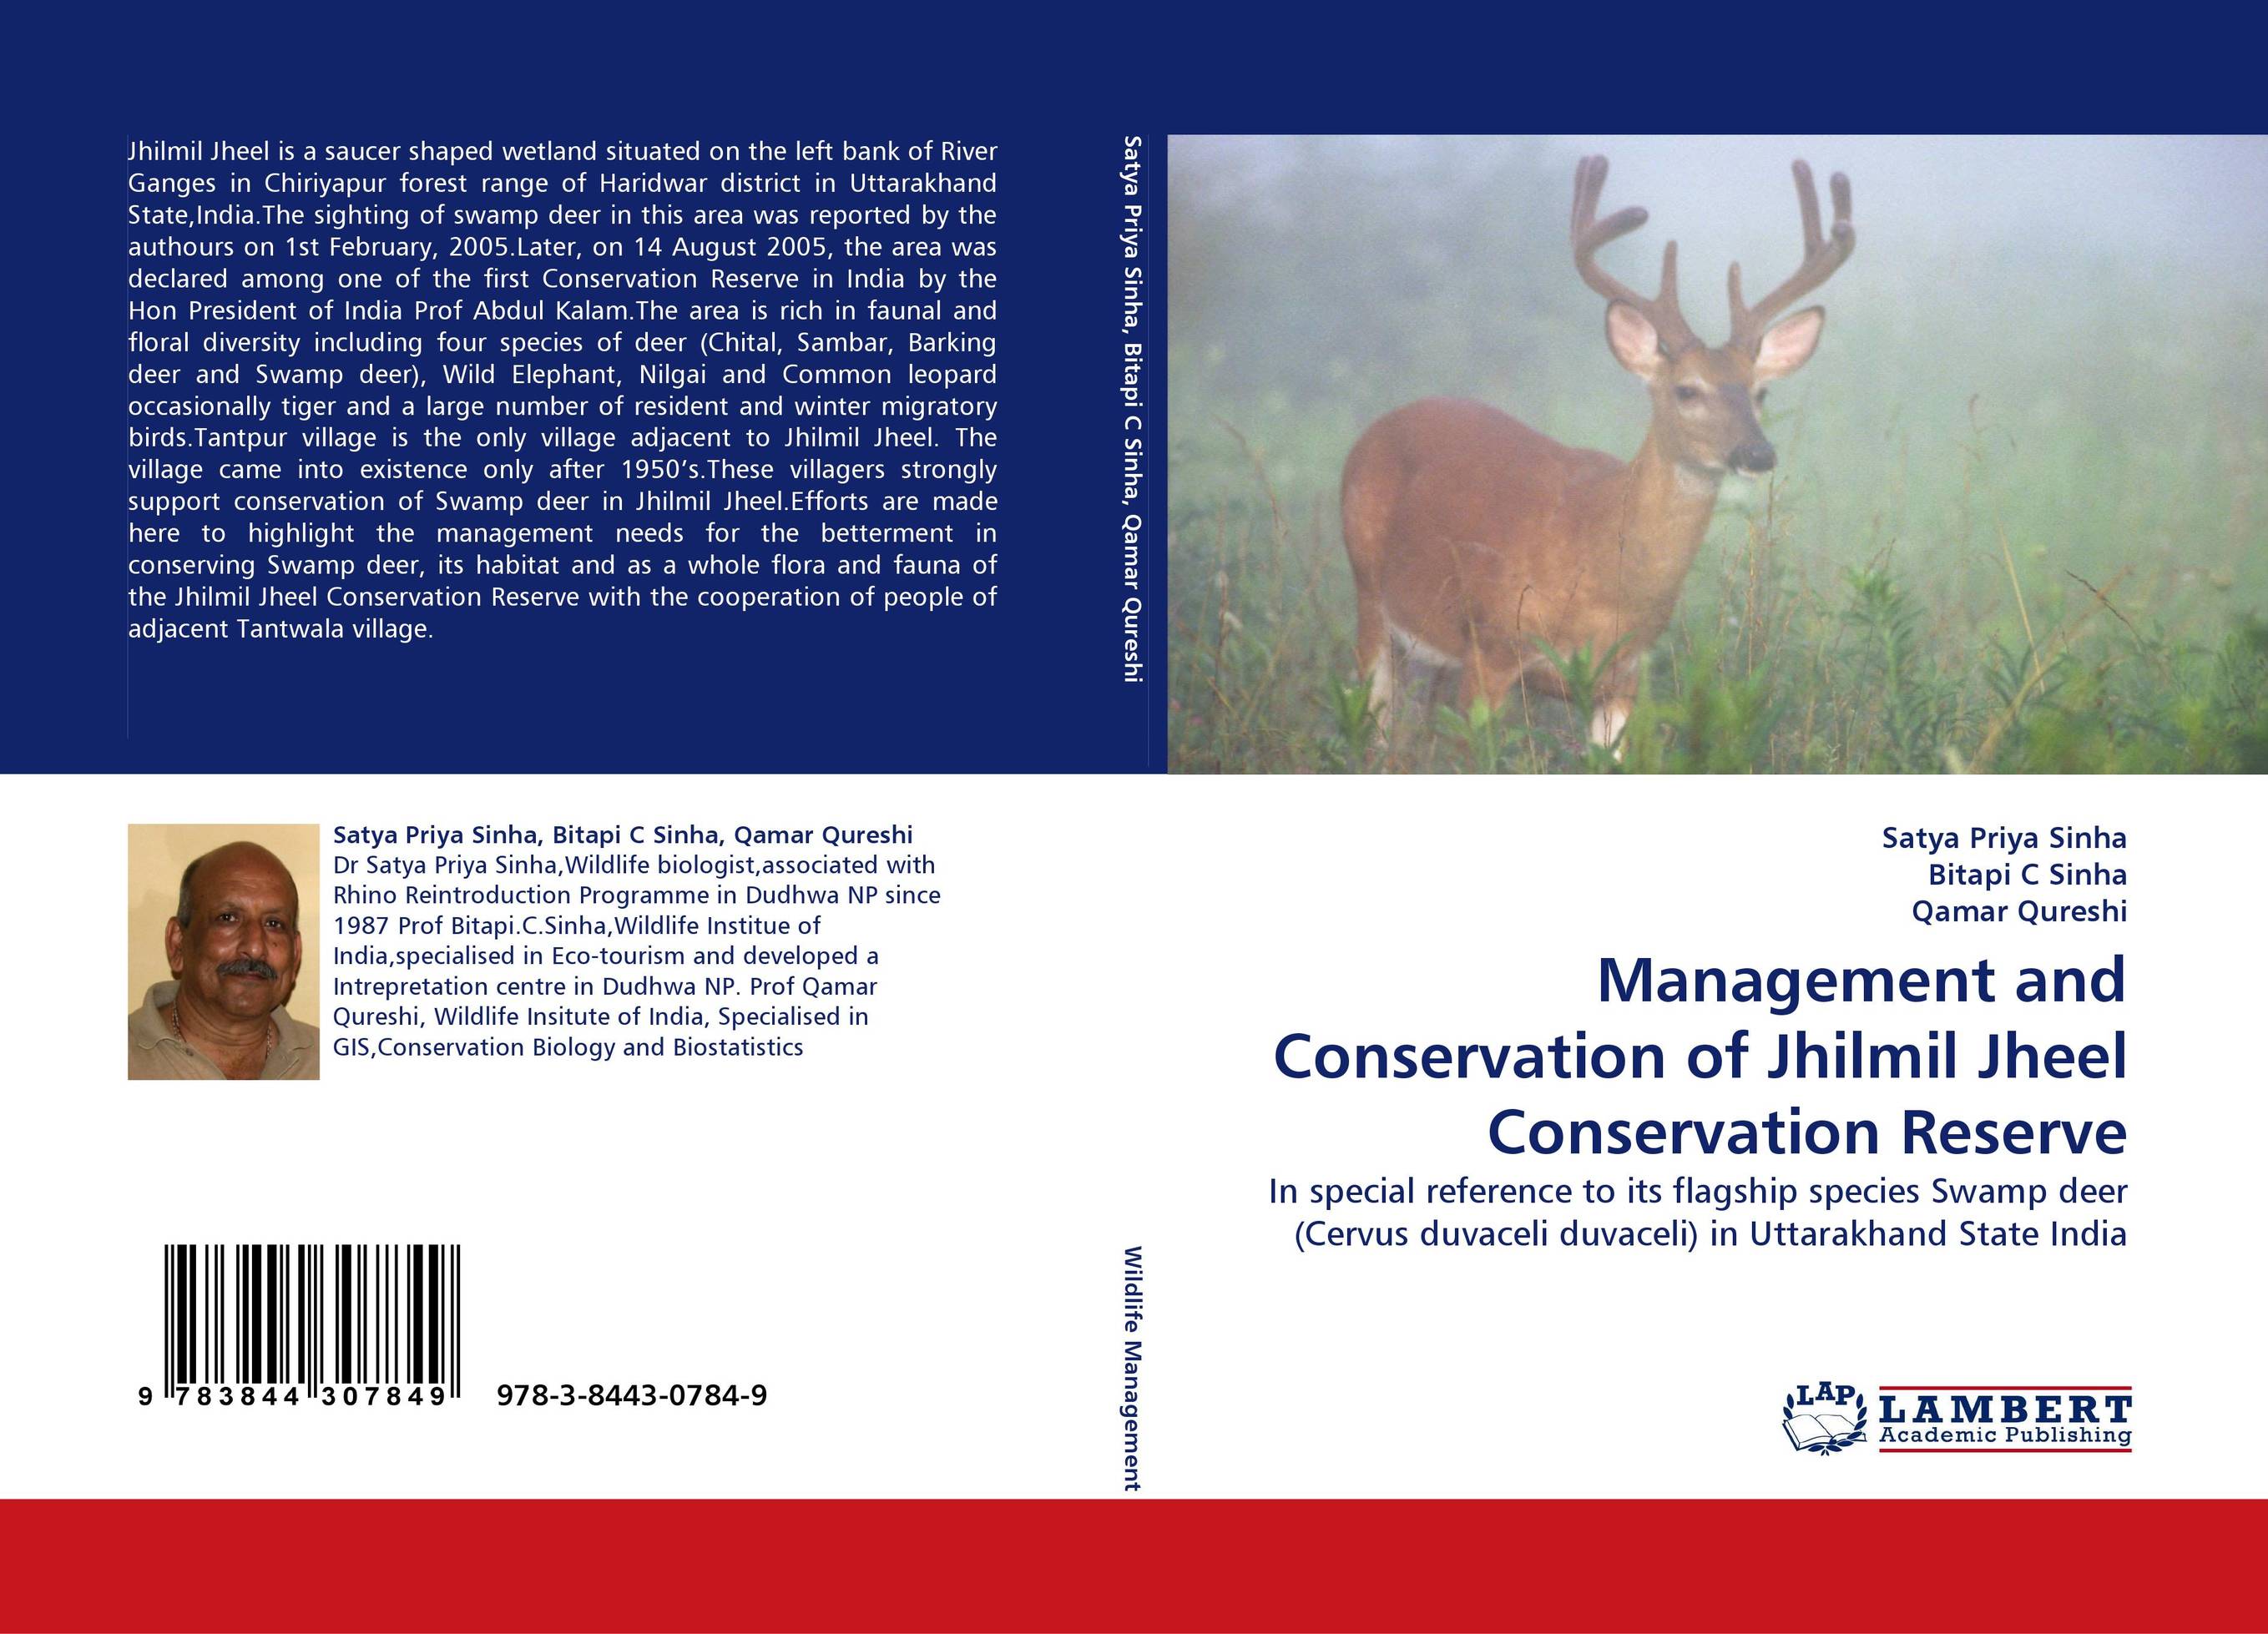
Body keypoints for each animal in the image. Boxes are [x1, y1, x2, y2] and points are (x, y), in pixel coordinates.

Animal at [1341, 154, 1855, 753]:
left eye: (1760, 392)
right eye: (1687, 390)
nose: (1757, 452)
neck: (1602, 567)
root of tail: (1381, 423)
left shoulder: (1624, 677)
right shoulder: (1492, 644)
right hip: (1367, 588)